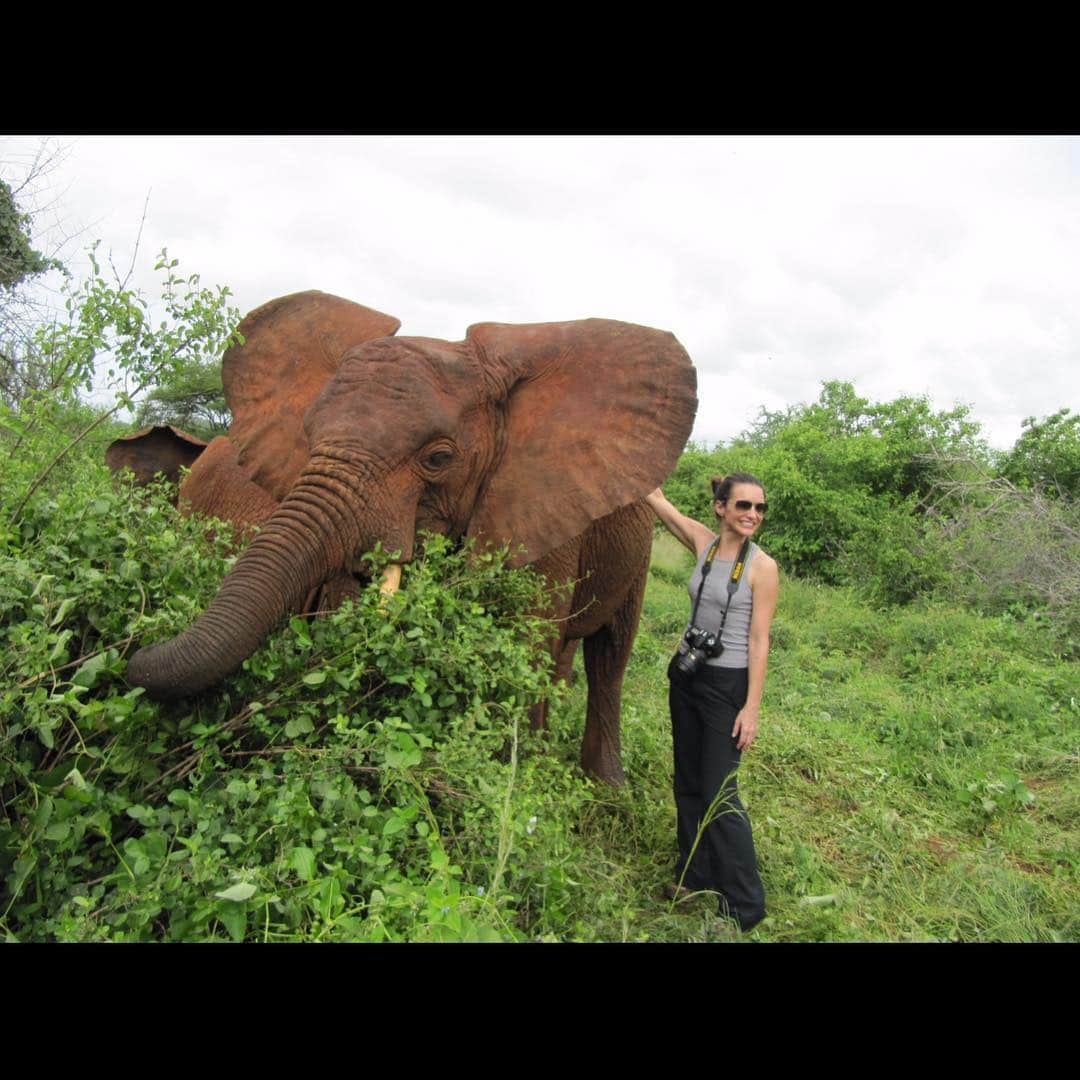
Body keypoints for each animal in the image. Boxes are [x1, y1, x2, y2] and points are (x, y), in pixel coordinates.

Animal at [122, 293, 695, 786]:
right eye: (308, 434)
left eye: (438, 458)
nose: (134, 649)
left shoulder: (537, 507)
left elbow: (521, 649)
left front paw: (505, 787)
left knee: (609, 657)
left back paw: (602, 785)